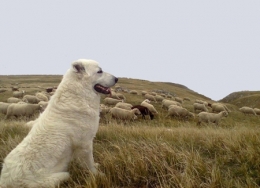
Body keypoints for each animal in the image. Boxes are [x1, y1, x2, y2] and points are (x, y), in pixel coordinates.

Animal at [0, 59, 118, 187]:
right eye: (99, 71)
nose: (117, 79)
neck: (79, 93)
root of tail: (5, 182)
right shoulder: (85, 143)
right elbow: (89, 163)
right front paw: (98, 174)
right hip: (58, 177)